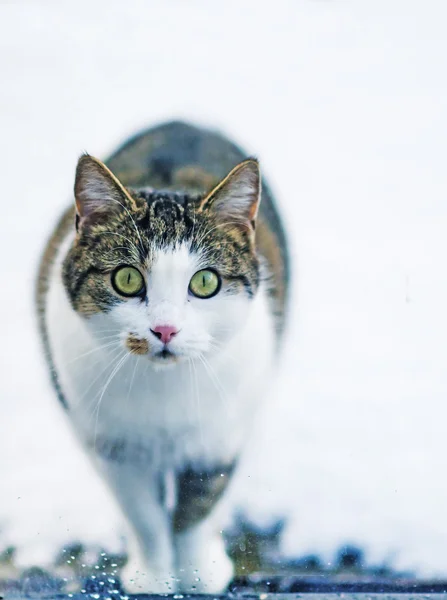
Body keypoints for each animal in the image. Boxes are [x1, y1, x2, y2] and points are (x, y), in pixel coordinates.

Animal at [37, 120, 290, 592]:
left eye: (205, 282)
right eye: (127, 278)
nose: (165, 330)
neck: (163, 390)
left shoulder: (220, 438)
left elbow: (198, 508)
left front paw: (197, 573)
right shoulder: (112, 445)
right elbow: (144, 514)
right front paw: (154, 576)